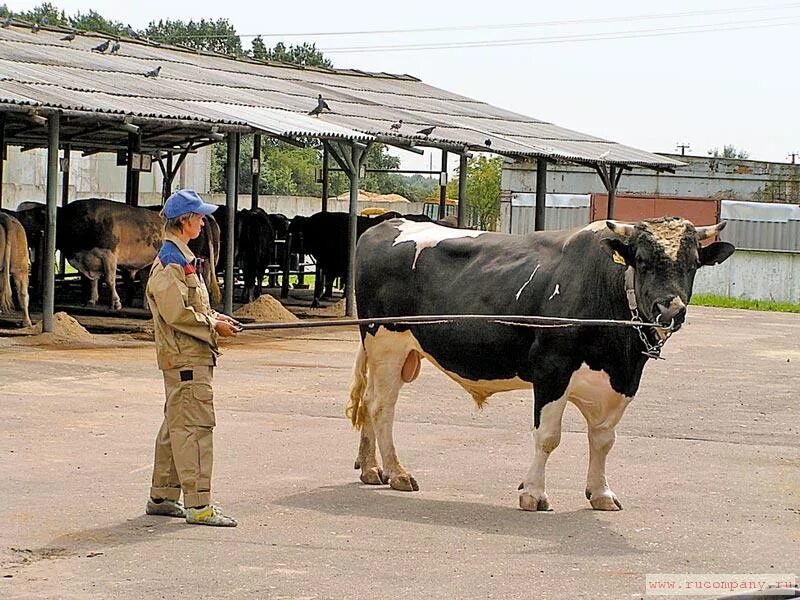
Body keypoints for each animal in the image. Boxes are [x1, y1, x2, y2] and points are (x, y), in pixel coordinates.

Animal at [346, 216, 736, 510]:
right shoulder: (552, 371)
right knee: (381, 407)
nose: (670, 310)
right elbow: (548, 437)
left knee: (369, 403)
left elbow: (603, 439)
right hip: (387, 343)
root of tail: (386, 224)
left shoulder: (620, 384)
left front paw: (601, 493)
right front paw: (533, 493)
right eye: (641, 261)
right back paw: (397, 472)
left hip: (393, 353)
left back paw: (371, 468)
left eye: (693, 264)